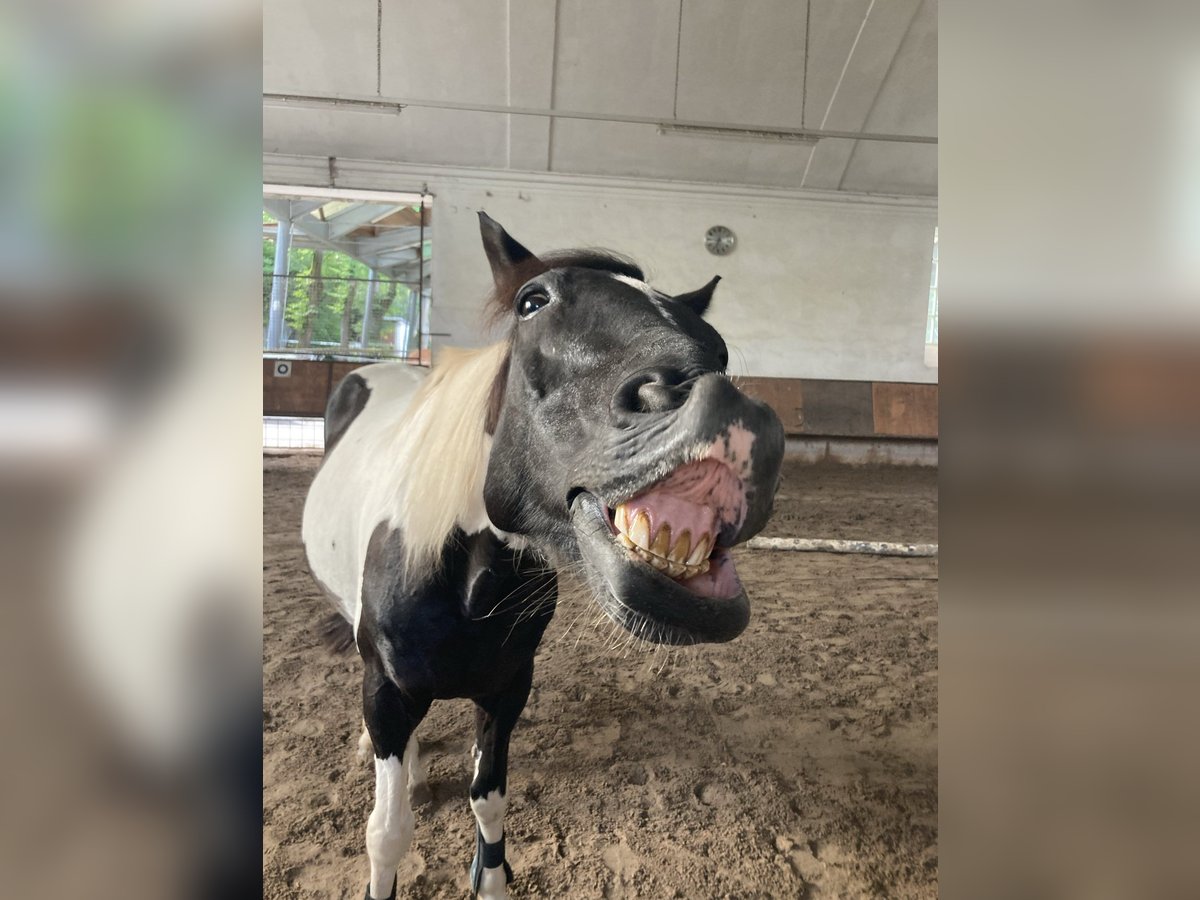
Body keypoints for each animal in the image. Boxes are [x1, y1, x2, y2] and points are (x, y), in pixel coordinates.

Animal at [304, 217, 782, 900]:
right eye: (533, 301)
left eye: (717, 349)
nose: (731, 414)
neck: (463, 582)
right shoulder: (388, 695)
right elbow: (387, 834)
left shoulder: (508, 689)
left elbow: (489, 800)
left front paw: (489, 876)